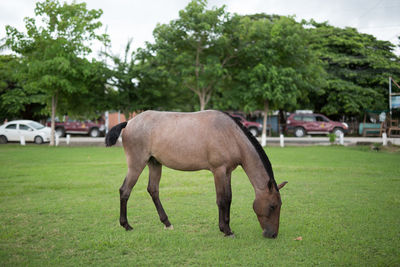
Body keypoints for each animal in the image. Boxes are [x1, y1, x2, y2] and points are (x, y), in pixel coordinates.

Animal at [105, 110, 288, 240]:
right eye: (273, 206)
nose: (272, 234)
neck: (231, 135)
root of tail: (129, 122)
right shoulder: (219, 171)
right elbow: (222, 200)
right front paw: (226, 230)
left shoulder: (227, 172)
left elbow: (228, 198)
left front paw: (226, 227)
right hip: (137, 164)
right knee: (125, 190)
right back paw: (126, 225)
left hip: (154, 163)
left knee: (153, 190)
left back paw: (167, 223)